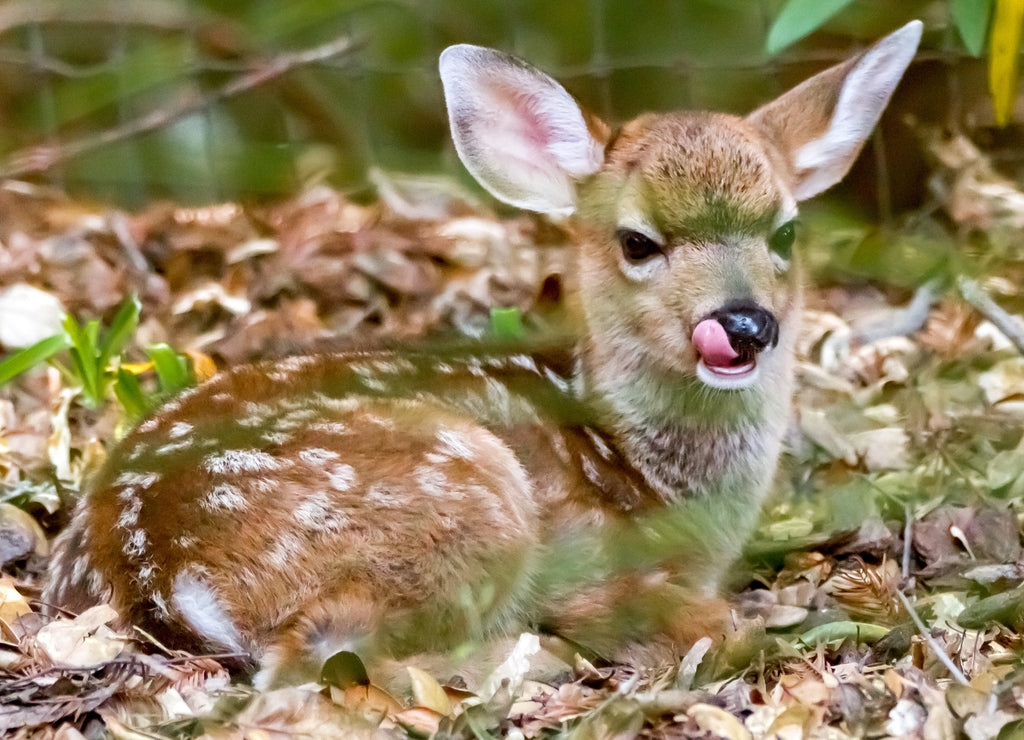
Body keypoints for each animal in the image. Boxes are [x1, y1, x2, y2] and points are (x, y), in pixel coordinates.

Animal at [43, 21, 922, 689]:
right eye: (639, 241)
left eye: (786, 232)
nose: (743, 324)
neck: (650, 473)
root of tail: (156, 569)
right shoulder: (590, 553)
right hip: (474, 494)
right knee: (316, 655)